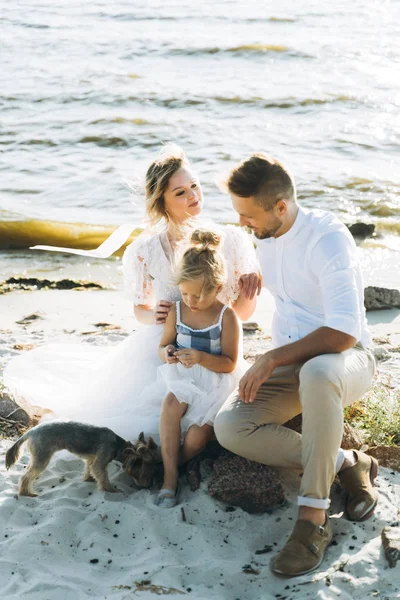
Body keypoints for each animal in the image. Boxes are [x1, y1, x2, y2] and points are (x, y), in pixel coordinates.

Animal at [5, 422, 160, 496]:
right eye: (145, 473)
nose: (148, 486)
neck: (118, 445)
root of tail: (30, 432)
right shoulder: (101, 459)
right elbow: (103, 475)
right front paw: (111, 490)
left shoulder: (92, 458)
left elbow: (90, 469)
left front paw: (89, 479)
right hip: (42, 458)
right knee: (25, 477)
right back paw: (27, 493)